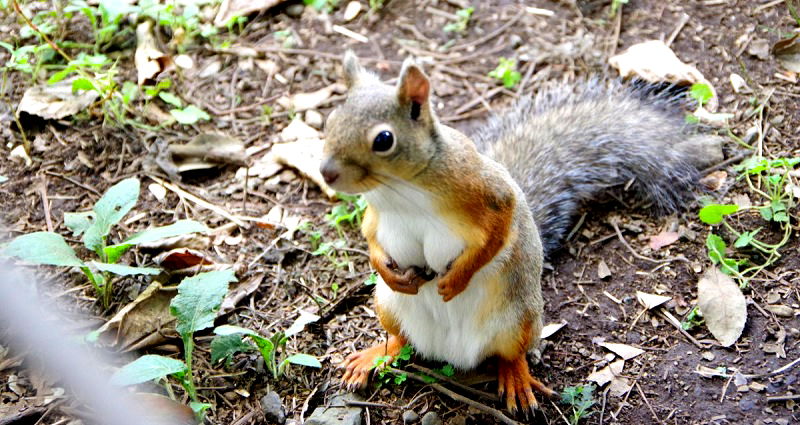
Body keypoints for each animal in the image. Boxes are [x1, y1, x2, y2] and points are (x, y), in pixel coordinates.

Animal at [320, 51, 724, 412]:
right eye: (330, 120)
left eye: (383, 140)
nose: (326, 172)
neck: (401, 189)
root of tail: (451, 354)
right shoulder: (375, 214)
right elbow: (370, 234)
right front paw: (385, 268)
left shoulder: (490, 192)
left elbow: (500, 231)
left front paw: (458, 279)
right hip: (387, 306)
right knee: (400, 341)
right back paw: (374, 355)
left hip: (518, 320)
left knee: (511, 354)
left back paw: (517, 378)